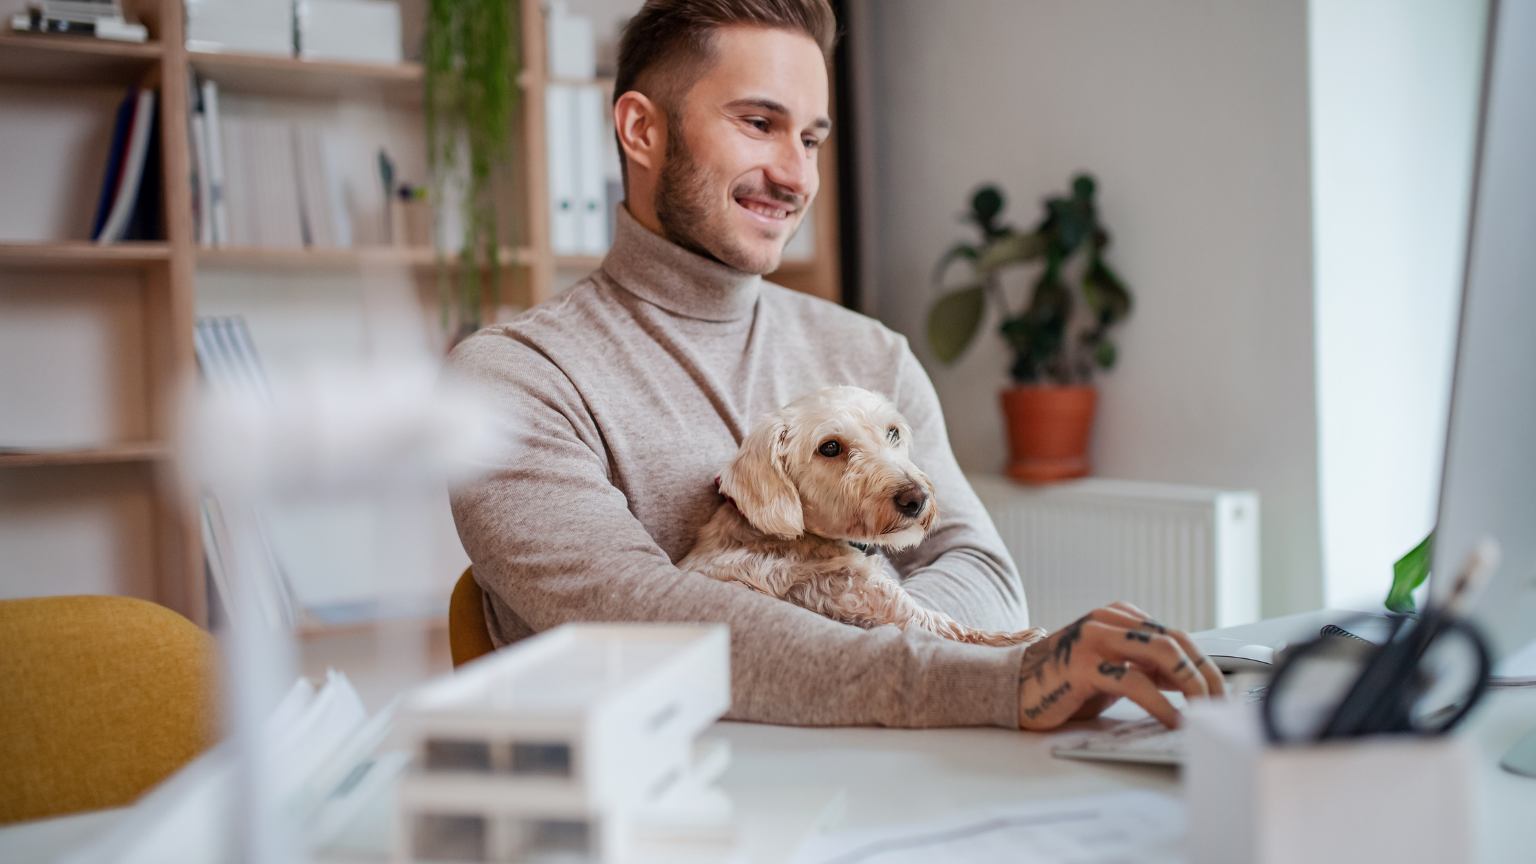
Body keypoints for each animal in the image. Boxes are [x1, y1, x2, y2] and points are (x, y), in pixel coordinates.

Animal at [681, 384, 1044, 645]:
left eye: (892, 432)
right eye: (829, 447)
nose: (916, 498)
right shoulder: (879, 598)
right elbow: (950, 626)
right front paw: (1018, 638)